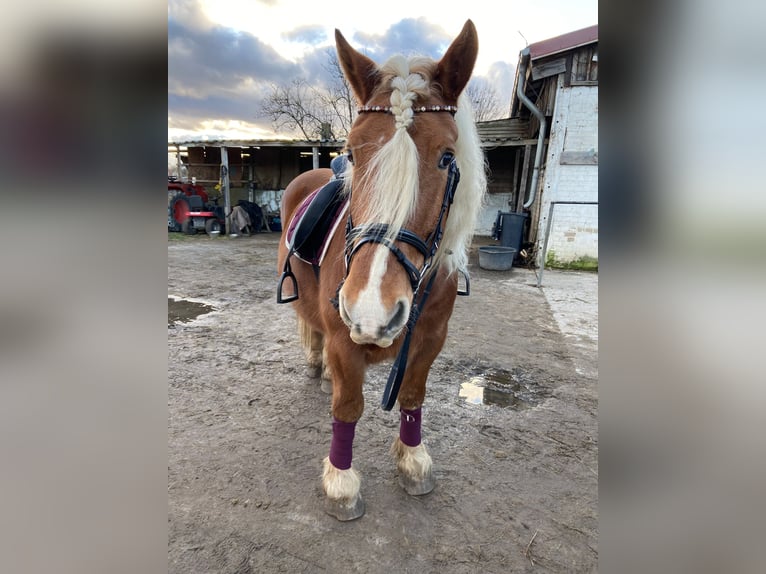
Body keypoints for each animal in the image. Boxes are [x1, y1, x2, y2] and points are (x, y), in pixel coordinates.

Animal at [276, 19, 486, 520]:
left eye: (447, 157)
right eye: (352, 153)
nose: (371, 310)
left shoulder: (430, 340)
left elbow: (412, 396)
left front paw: (413, 460)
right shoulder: (344, 338)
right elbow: (348, 407)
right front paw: (341, 483)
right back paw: (317, 365)